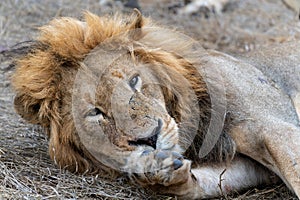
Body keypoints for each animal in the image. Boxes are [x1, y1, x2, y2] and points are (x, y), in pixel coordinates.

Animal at [10, 9, 300, 198]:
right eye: (96, 113)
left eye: (134, 81)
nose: (149, 139)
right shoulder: (250, 167)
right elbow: (210, 181)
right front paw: (161, 171)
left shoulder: (275, 127)